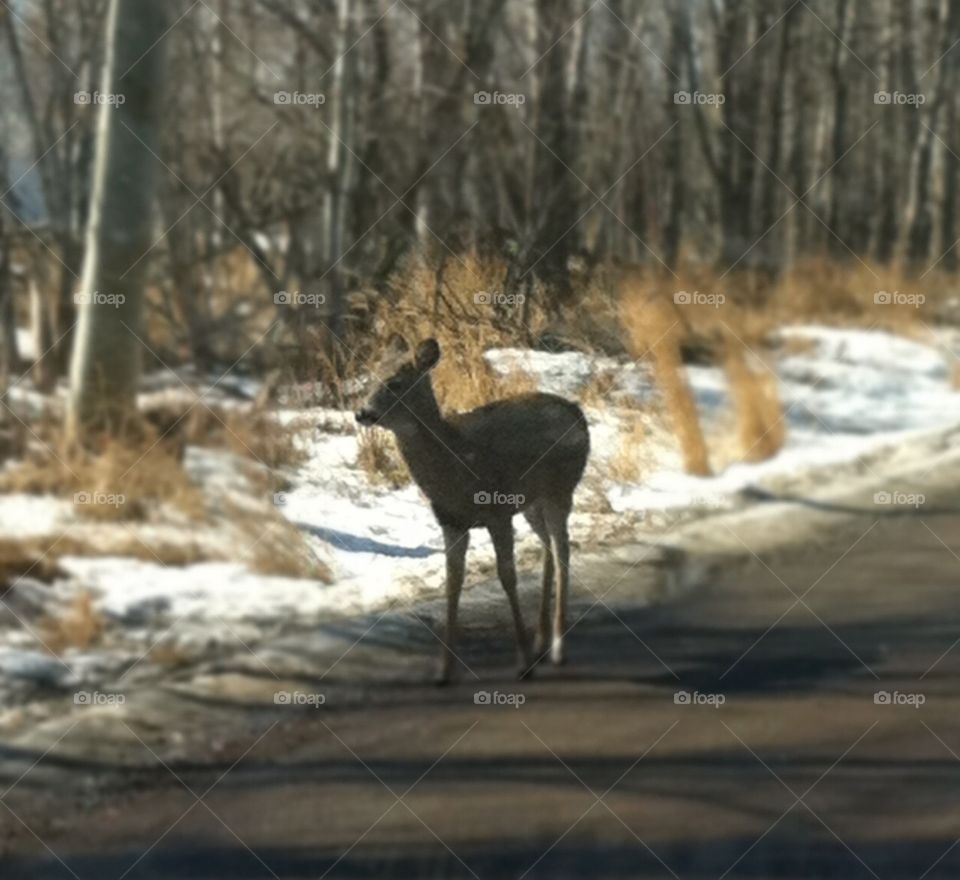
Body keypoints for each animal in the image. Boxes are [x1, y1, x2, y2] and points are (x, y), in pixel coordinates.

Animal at [356, 337, 590, 684]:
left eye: (395, 382)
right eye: (370, 375)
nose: (362, 412)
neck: (457, 464)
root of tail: (577, 411)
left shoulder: (498, 513)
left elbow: (508, 577)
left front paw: (523, 663)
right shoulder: (450, 522)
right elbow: (453, 583)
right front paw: (443, 670)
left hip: (560, 489)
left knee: (563, 551)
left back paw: (557, 649)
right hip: (532, 501)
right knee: (549, 547)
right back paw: (541, 642)